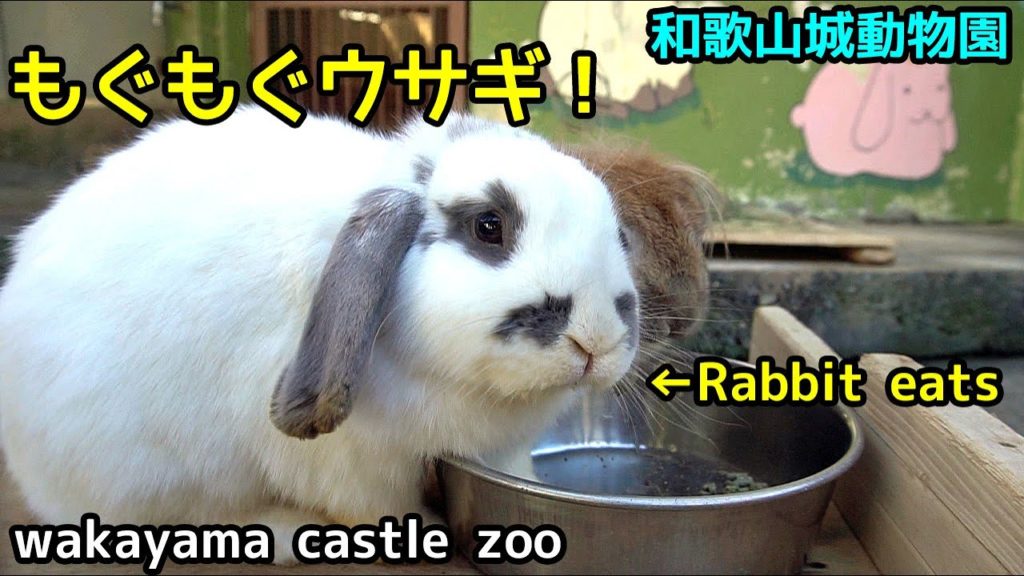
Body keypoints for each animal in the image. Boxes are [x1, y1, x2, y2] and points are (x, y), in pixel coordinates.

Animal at [0, 107, 639, 562]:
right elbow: (381, 507)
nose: (597, 342)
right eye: (488, 226)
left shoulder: (500, 448)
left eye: (619, 233)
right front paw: (425, 531)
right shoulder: (357, 466)